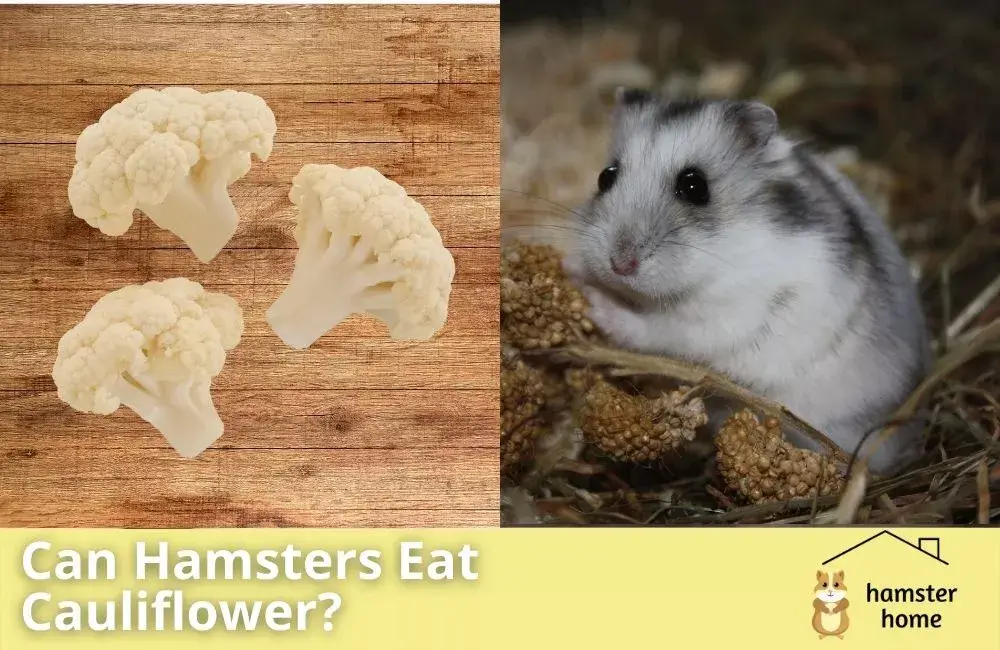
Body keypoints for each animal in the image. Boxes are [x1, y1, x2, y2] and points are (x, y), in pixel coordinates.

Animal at [563, 89, 932, 475]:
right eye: (605, 177)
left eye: (694, 186)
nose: (619, 264)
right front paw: (571, 267)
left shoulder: (718, 319)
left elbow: (650, 330)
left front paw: (592, 299)